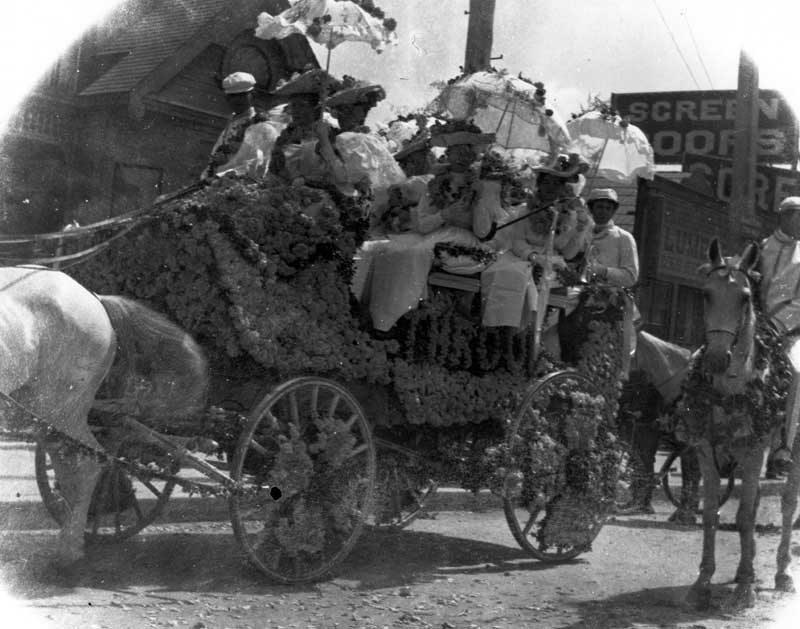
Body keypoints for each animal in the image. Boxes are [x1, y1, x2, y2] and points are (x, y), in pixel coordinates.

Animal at [0, 268, 206, 572]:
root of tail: (94, 298)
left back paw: (70, 550)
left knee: (84, 466)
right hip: (44, 414)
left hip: (59, 409)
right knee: (70, 469)